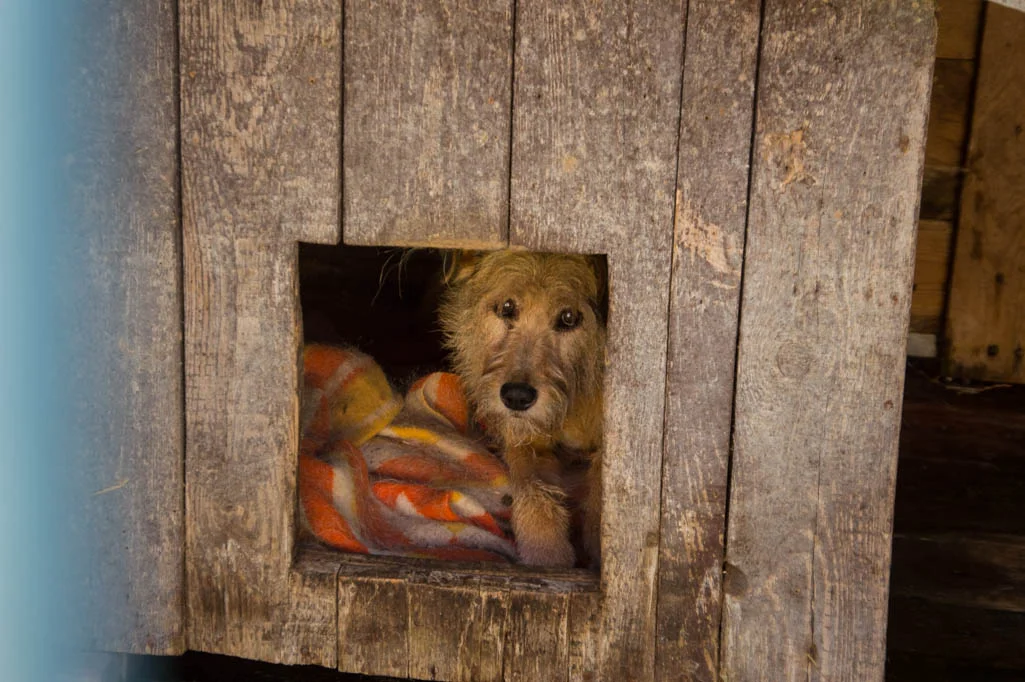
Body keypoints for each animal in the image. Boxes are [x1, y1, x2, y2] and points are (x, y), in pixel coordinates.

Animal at [436, 247, 602, 566]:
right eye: (507, 308)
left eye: (568, 317)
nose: (516, 397)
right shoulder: (523, 440)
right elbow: (530, 486)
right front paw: (546, 554)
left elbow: (603, 483)